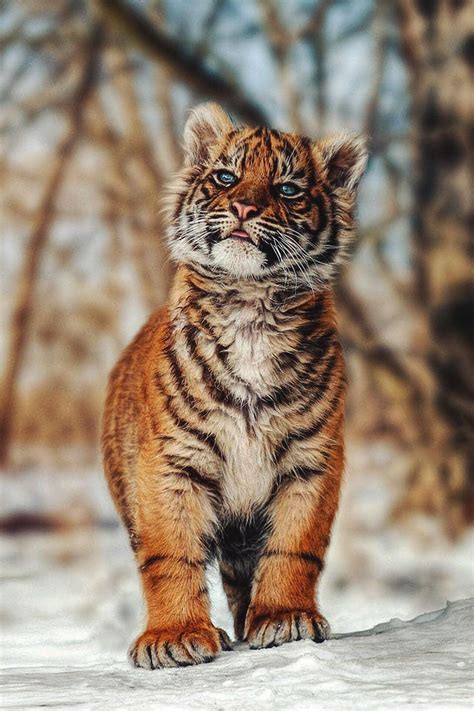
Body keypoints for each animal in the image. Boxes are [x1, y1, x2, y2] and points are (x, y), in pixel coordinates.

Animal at [102, 103, 367, 669]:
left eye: (287, 189)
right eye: (226, 177)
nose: (244, 206)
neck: (250, 306)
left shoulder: (312, 458)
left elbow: (294, 547)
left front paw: (285, 619)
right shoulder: (171, 462)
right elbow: (170, 554)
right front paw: (174, 637)